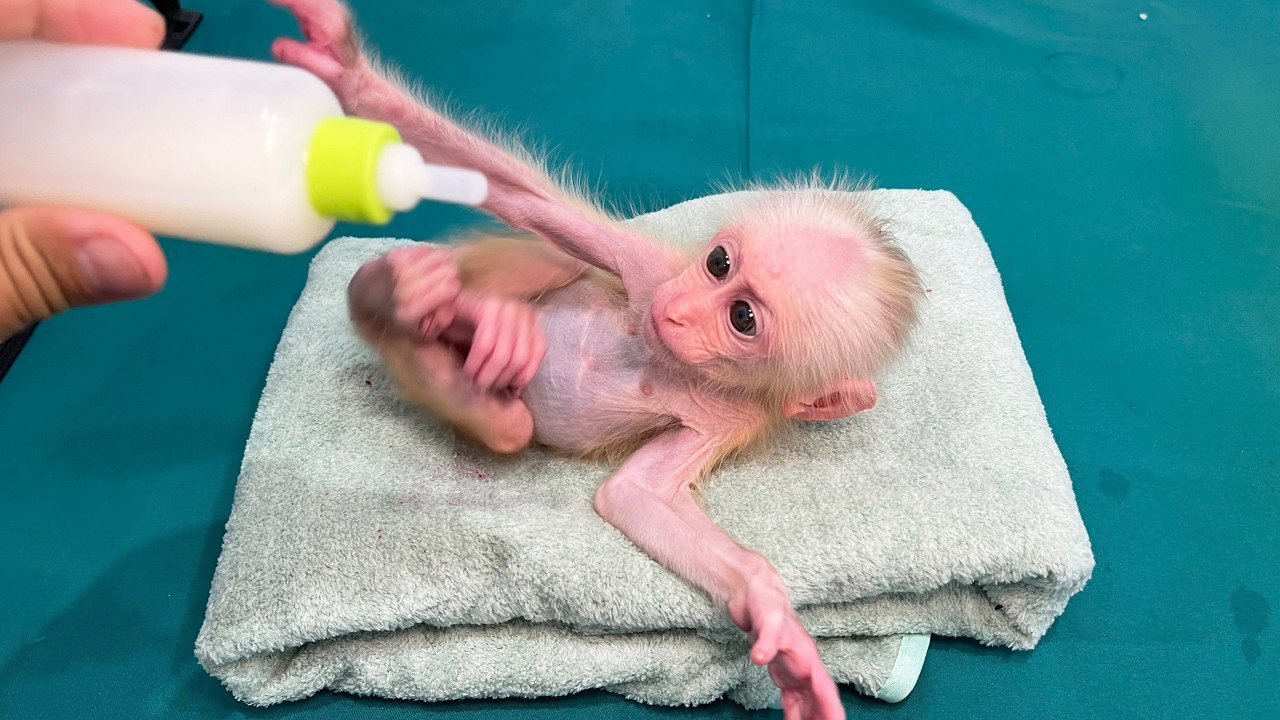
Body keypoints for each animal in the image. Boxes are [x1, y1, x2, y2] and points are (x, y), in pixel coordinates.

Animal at [268, 2, 924, 718]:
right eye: (720, 263)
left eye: (743, 319)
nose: (678, 313)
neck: (664, 354)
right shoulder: (653, 271)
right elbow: (529, 202)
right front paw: (344, 67)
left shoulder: (731, 418)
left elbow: (632, 496)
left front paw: (781, 630)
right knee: (545, 254)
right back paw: (431, 301)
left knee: (505, 418)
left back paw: (440, 323)